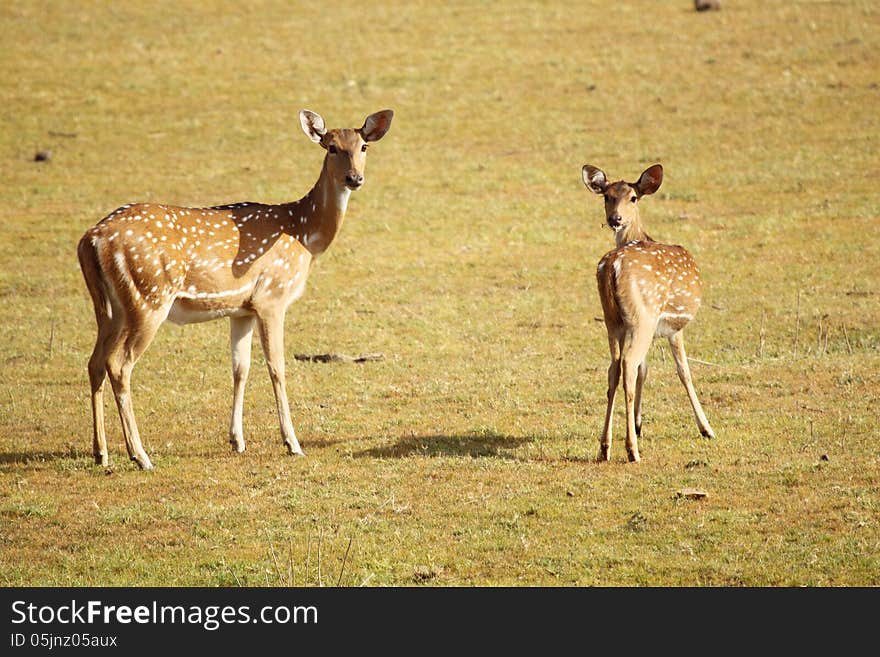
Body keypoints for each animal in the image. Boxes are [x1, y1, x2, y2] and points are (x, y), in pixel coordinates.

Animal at [79, 109, 396, 466]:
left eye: (363, 146)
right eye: (331, 147)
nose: (355, 178)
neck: (304, 234)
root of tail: (91, 239)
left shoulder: (241, 309)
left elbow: (239, 368)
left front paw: (237, 440)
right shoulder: (272, 297)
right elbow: (277, 367)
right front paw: (292, 442)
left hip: (109, 307)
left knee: (94, 362)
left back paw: (101, 452)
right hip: (149, 297)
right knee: (119, 365)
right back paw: (140, 456)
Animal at [584, 164, 716, 462]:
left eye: (633, 197)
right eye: (606, 196)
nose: (615, 219)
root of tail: (613, 265)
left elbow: (646, 370)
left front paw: (638, 423)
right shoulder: (674, 327)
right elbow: (684, 371)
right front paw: (707, 428)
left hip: (612, 320)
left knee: (614, 368)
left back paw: (605, 447)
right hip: (641, 316)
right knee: (628, 364)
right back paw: (632, 451)